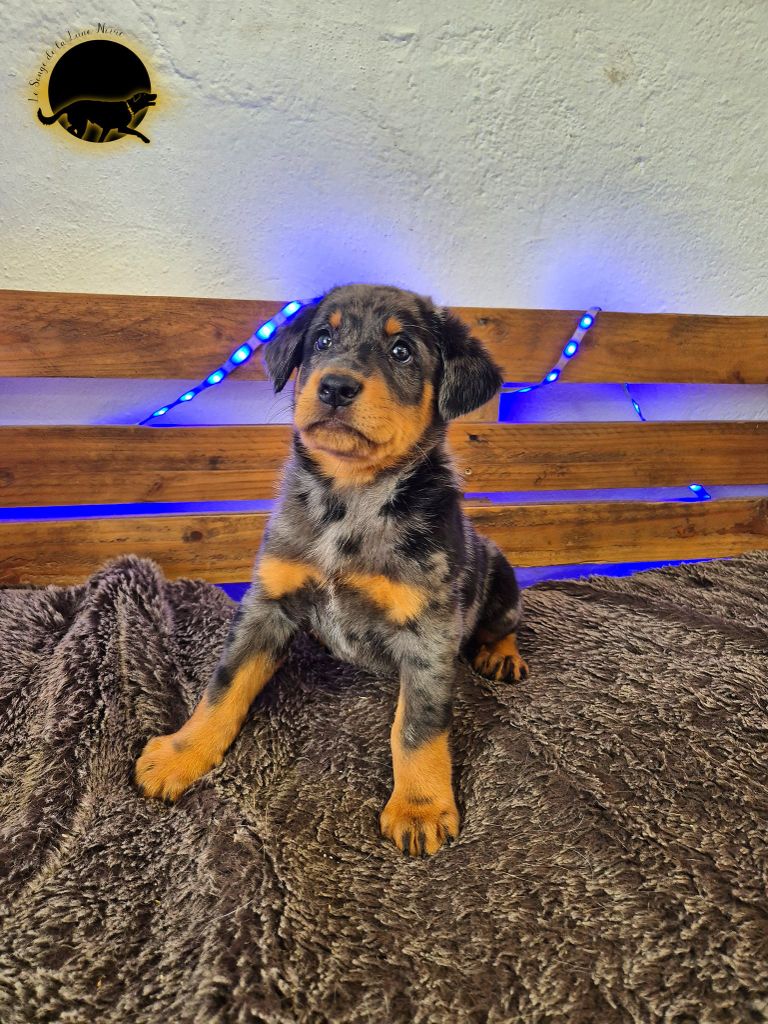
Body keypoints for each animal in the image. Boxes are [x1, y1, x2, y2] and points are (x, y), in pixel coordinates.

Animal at [135, 284, 529, 856]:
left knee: (506, 625)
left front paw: (419, 807)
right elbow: (223, 688)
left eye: (402, 351)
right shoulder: (267, 605)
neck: (350, 498)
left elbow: (417, 726)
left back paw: (502, 655)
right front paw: (180, 754)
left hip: (501, 578)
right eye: (322, 339)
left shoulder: (429, 634)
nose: (336, 386)